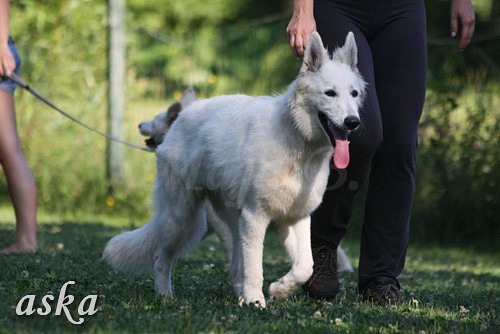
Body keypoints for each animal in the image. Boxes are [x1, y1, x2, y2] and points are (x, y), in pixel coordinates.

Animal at [103, 32, 366, 308]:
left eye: (354, 94)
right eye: (330, 93)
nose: (353, 122)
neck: (298, 145)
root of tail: (184, 114)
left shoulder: (295, 218)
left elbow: (305, 266)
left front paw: (279, 290)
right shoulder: (255, 216)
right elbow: (255, 267)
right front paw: (256, 302)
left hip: (227, 221)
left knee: (234, 267)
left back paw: (238, 296)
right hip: (181, 217)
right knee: (161, 258)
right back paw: (166, 297)